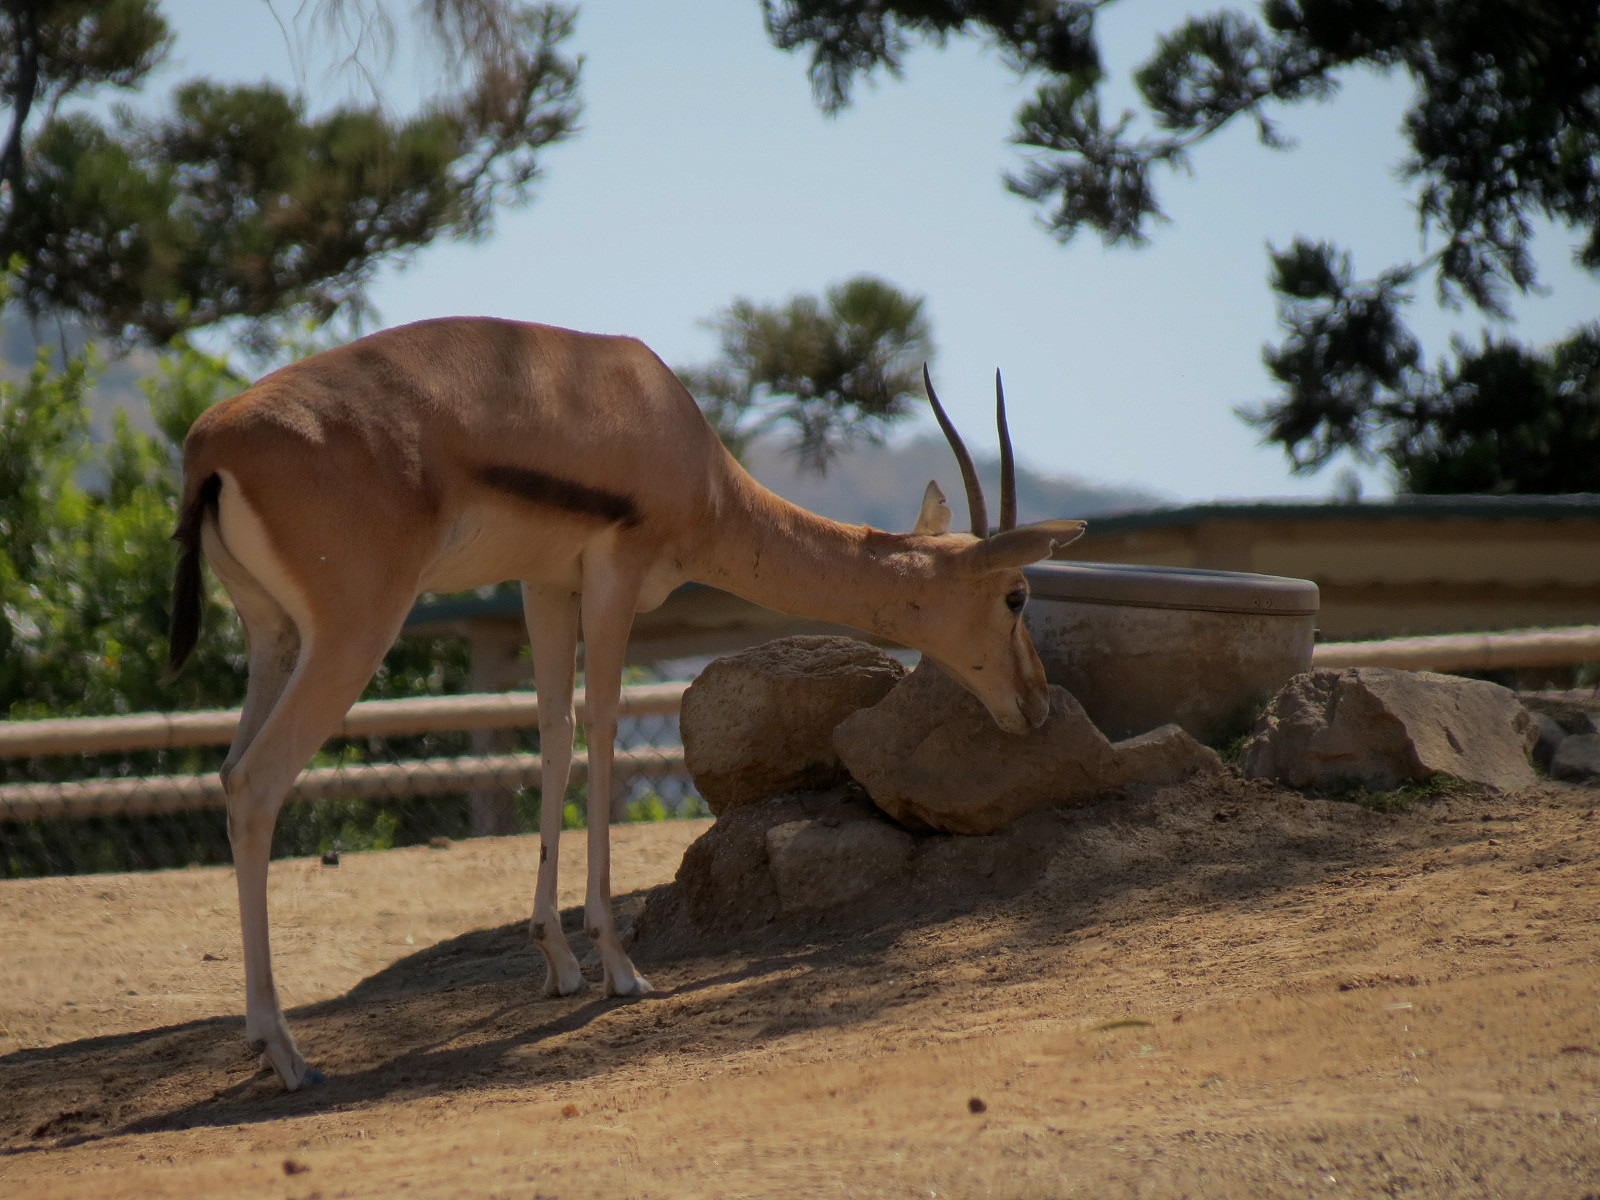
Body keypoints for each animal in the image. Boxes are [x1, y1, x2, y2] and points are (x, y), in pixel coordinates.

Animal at [167, 317, 1085, 1090]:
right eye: (1015, 596)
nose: (1037, 705)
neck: (675, 440)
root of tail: (212, 443)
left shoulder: (545, 583)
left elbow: (552, 730)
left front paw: (557, 962)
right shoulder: (615, 575)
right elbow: (604, 731)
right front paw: (619, 966)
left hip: (273, 637)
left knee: (227, 770)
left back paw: (267, 1046)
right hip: (352, 634)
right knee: (255, 783)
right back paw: (288, 1053)